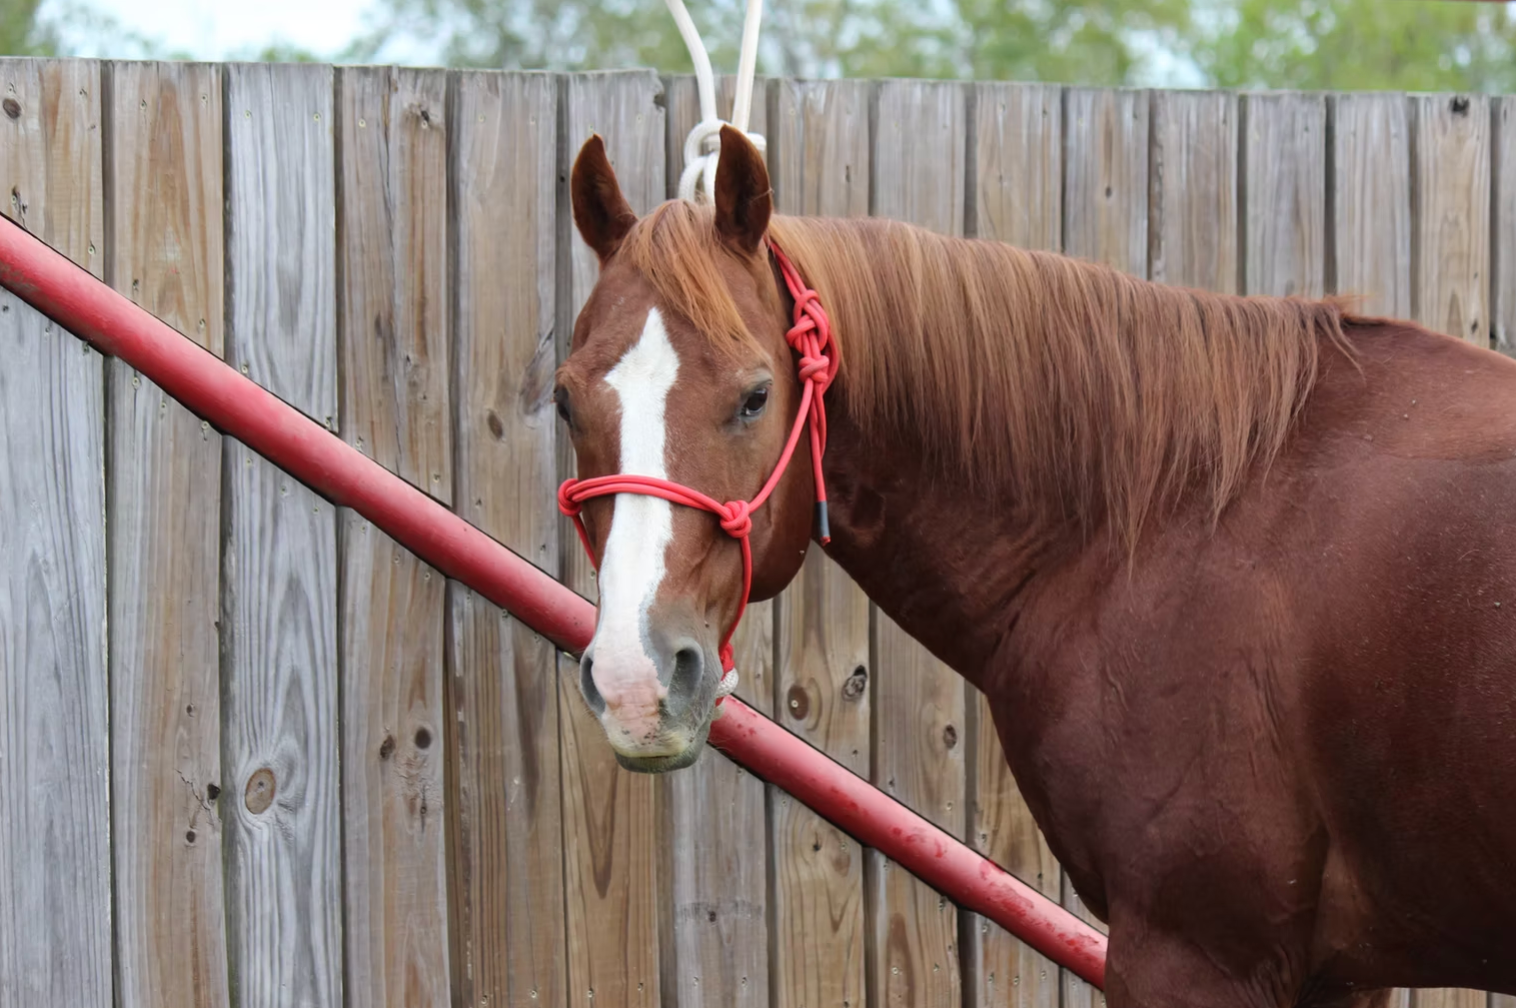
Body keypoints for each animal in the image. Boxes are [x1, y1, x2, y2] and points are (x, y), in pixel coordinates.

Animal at [552, 123, 1516, 1006]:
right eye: (564, 401)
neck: (1174, 516)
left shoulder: (1192, 952)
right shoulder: (1337, 973)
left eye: (756, 395)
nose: (637, 679)